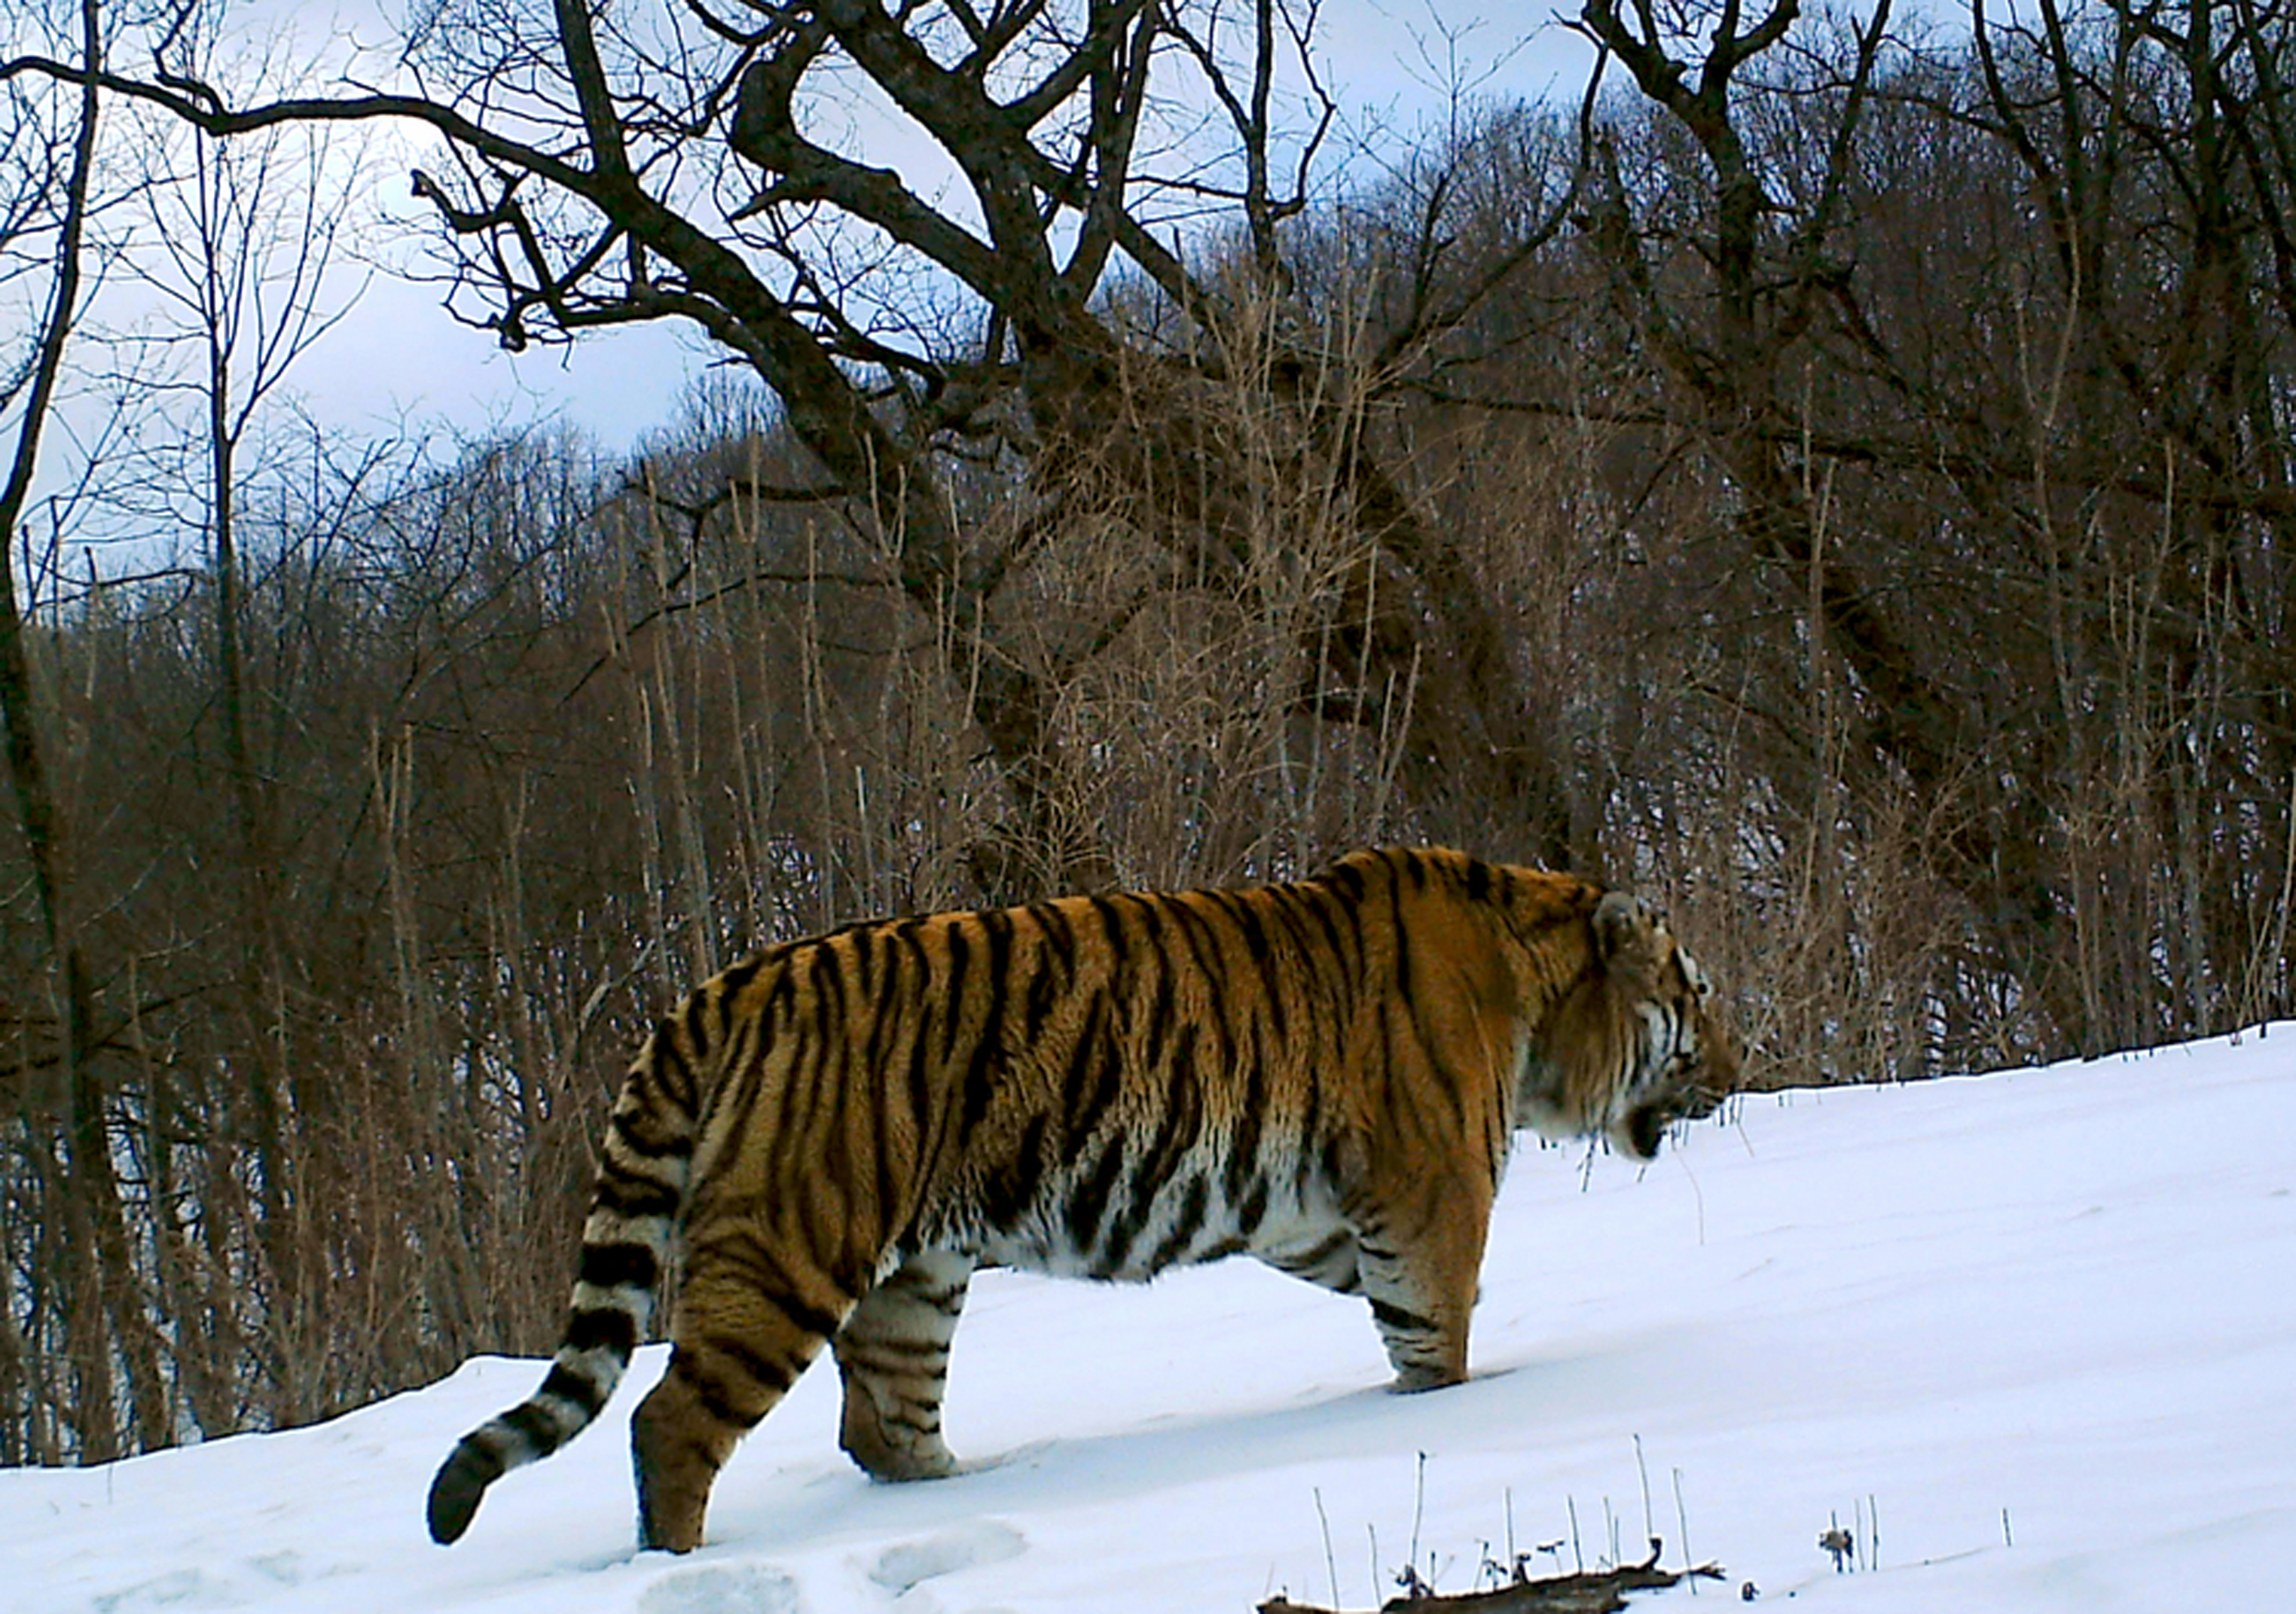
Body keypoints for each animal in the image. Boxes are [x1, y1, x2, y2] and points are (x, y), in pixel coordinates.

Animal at [426, 844, 1736, 1551]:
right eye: (1697, 992)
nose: (1742, 1055)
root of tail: (712, 989)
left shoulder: (1322, 1213)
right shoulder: (1428, 1194)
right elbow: (1439, 1332)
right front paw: (1449, 1414)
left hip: (915, 1277)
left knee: (880, 1422)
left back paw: (983, 1495)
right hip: (788, 1247)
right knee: (671, 1421)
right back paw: (676, 1568)